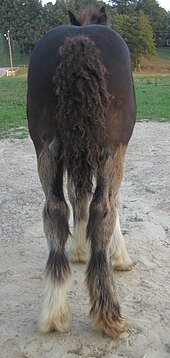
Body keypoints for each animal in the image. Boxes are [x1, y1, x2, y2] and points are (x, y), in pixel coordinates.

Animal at [26, 7, 135, 338]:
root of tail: (79, 41)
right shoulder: (115, 150)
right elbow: (112, 203)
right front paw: (119, 257)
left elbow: (77, 196)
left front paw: (78, 250)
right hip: (111, 148)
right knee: (103, 209)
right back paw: (108, 313)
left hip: (46, 146)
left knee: (55, 210)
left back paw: (53, 310)